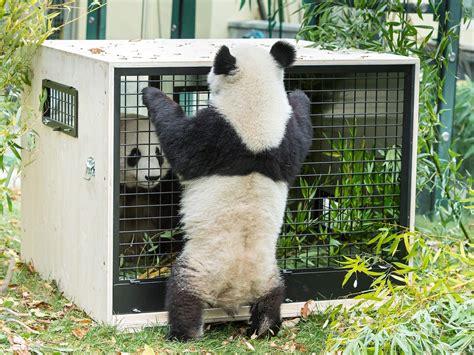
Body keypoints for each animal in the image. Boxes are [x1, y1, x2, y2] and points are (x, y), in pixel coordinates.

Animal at [143, 41, 314, 342]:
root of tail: (235, 292)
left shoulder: (216, 133)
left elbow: (180, 146)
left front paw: (151, 94)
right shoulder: (284, 141)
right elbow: (302, 137)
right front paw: (299, 96)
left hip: (199, 268)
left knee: (182, 296)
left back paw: (182, 333)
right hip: (268, 273)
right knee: (273, 298)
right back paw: (265, 328)